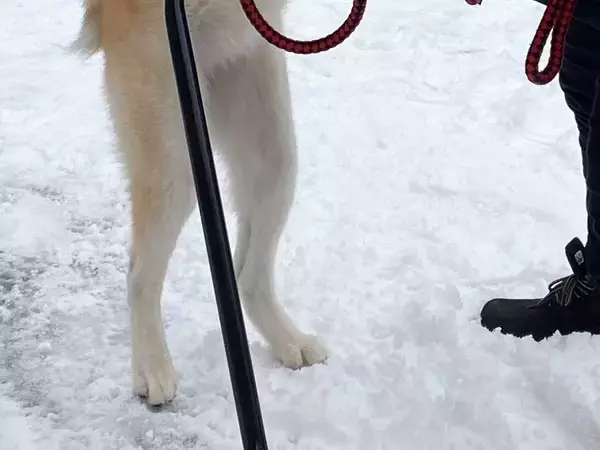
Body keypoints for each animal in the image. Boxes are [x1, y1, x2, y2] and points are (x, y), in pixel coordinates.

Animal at [75, 0, 330, 406]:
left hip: (268, 144)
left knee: (247, 277)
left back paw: (286, 338)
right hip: (174, 152)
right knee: (140, 276)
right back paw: (152, 367)